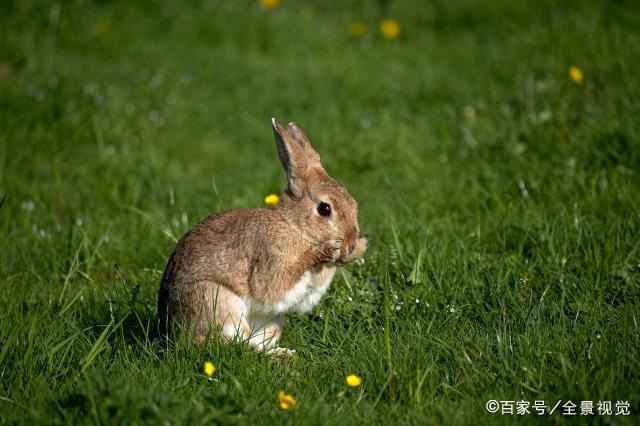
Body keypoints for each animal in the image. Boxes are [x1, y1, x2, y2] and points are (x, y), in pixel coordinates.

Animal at [158, 118, 368, 354]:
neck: (294, 227)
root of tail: (174, 336)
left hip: (273, 322)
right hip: (216, 302)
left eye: (353, 203)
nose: (350, 245)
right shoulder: (272, 262)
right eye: (324, 209)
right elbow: (275, 288)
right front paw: (325, 250)